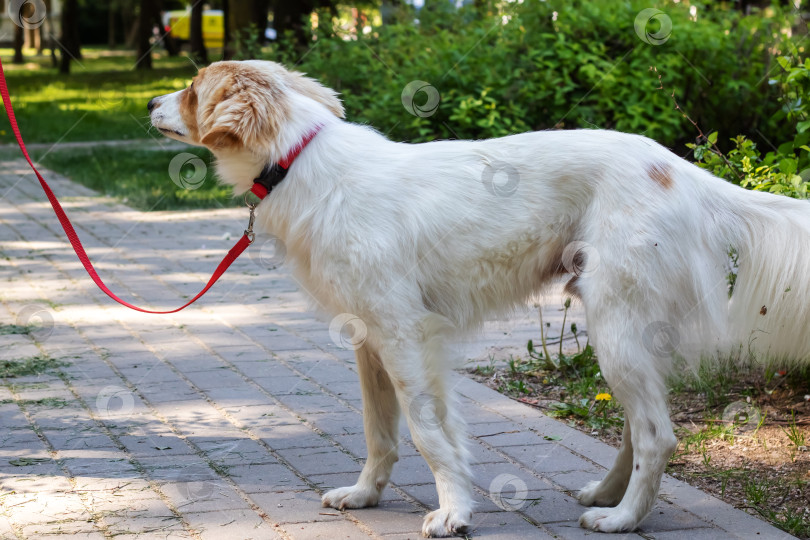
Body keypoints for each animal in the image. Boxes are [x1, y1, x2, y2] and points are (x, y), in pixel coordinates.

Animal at [148, 60, 808, 536]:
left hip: (615, 325)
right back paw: (606, 493)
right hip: (624, 334)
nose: (149, 104)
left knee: (657, 435)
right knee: (637, 425)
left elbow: (425, 430)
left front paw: (453, 512)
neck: (298, 162)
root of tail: (677, 168)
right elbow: (380, 430)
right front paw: (366, 494)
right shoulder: (369, 339)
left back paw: (621, 518)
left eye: (190, 88)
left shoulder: (403, 334)